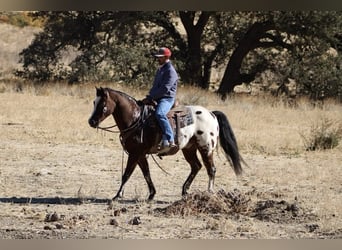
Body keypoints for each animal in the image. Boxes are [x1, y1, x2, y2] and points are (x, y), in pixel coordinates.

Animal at [87, 87, 243, 200]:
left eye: (102, 104)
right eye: (94, 102)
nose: (91, 121)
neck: (136, 119)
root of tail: (211, 113)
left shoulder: (135, 154)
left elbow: (126, 174)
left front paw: (117, 195)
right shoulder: (140, 155)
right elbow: (146, 173)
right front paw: (151, 194)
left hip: (206, 147)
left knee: (211, 169)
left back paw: (209, 192)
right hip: (189, 149)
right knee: (196, 166)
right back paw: (185, 191)